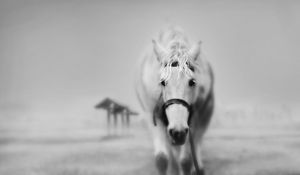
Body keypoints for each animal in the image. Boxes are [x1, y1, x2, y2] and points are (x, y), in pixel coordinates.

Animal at [135, 26, 214, 175]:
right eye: (162, 82)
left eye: (192, 82)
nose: (178, 133)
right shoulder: (152, 117)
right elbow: (161, 159)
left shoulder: (193, 119)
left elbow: (186, 160)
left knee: (197, 142)